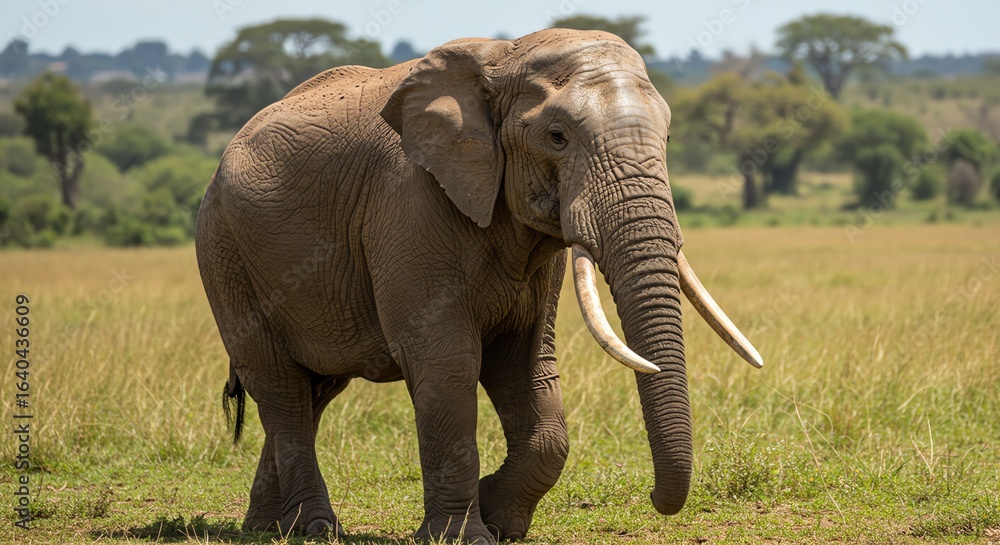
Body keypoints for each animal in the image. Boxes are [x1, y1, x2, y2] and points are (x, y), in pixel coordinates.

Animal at [196, 28, 762, 544]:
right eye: (557, 136)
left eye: (666, 139)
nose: (652, 497)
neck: (504, 58)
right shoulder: (408, 206)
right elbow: (446, 365)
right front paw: (463, 536)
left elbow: (528, 365)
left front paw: (499, 519)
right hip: (223, 252)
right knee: (280, 388)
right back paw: (313, 529)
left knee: (313, 390)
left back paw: (267, 528)